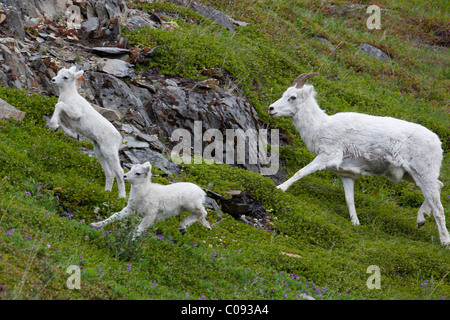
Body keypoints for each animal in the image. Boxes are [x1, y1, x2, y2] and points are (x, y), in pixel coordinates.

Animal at [49, 66, 125, 199]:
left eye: (65, 77)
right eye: (58, 73)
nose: (53, 80)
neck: (68, 96)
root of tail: (119, 139)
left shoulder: (75, 114)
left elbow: (59, 105)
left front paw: (54, 125)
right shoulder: (65, 118)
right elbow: (60, 119)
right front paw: (71, 134)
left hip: (109, 151)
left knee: (119, 172)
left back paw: (121, 197)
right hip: (99, 151)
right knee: (110, 173)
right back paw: (106, 192)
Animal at [268, 73, 448, 248]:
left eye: (292, 97)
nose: (271, 109)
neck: (320, 127)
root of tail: (438, 144)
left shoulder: (327, 155)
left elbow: (300, 172)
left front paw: (280, 188)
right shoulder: (346, 175)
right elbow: (350, 200)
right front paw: (355, 223)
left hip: (423, 174)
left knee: (438, 208)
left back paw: (444, 242)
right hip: (411, 175)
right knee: (439, 186)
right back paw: (421, 220)